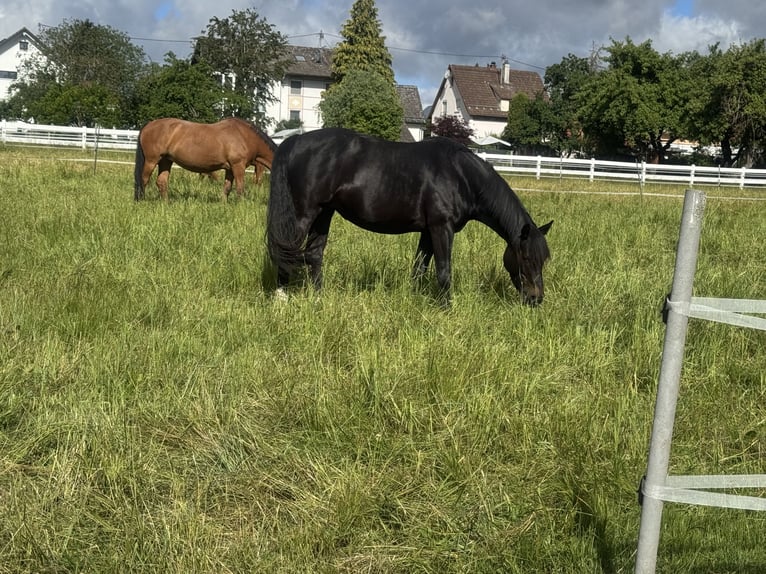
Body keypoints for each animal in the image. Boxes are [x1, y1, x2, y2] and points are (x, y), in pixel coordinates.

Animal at [133, 117, 276, 201]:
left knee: (161, 182)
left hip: (165, 161)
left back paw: (165, 204)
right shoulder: (238, 166)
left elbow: (227, 188)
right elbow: (240, 189)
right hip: (151, 160)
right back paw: (142, 201)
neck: (245, 136)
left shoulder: (230, 169)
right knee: (143, 180)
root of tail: (147, 126)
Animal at [266, 128, 553, 305]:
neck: (461, 175)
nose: (536, 299)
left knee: (314, 254)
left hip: (324, 213)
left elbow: (419, 270)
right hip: (304, 214)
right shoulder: (441, 228)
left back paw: (318, 299)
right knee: (287, 250)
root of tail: (294, 141)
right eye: (526, 257)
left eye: (544, 260)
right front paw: (446, 310)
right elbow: (443, 271)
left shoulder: (427, 232)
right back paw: (281, 297)